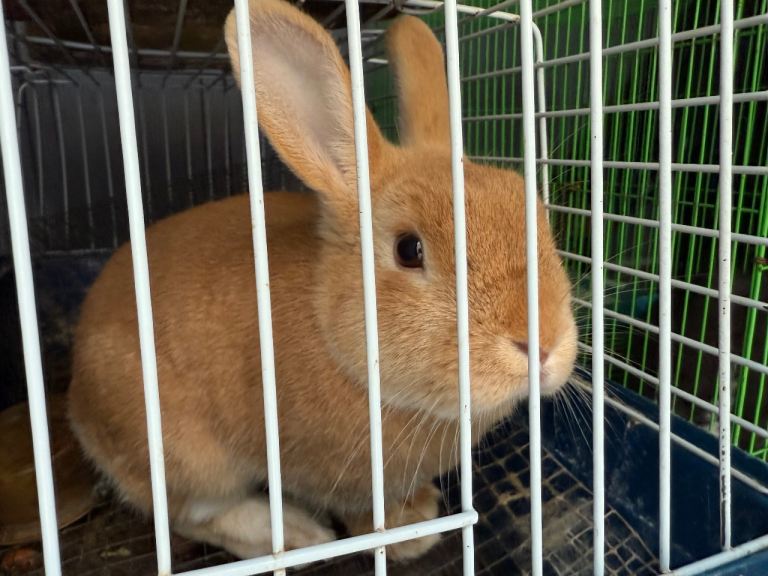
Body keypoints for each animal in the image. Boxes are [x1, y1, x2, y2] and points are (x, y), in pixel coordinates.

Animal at [66, 0, 578, 562]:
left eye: (535, 213)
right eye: (409, 249)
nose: (543, 343)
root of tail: (76, 400)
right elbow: (364, 515)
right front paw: (412, 535)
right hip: (189, 458)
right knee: (193, 514)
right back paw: (296, 534)